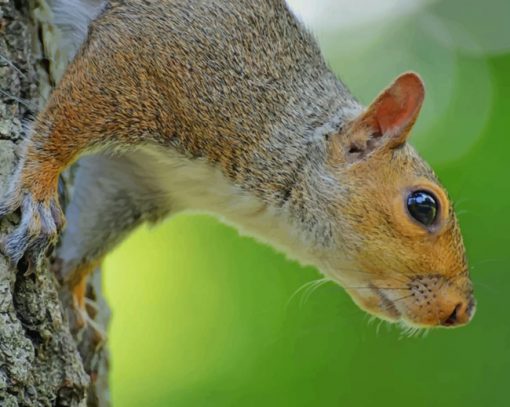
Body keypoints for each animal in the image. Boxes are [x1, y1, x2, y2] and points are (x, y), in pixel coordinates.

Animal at [0, 0, 474, 330]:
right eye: (423, 206)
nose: (462, 311)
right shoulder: (148, 54)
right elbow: (60, 126)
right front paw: (38, 194)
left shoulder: (137, 179)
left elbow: (93, 229)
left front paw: (75, 289)